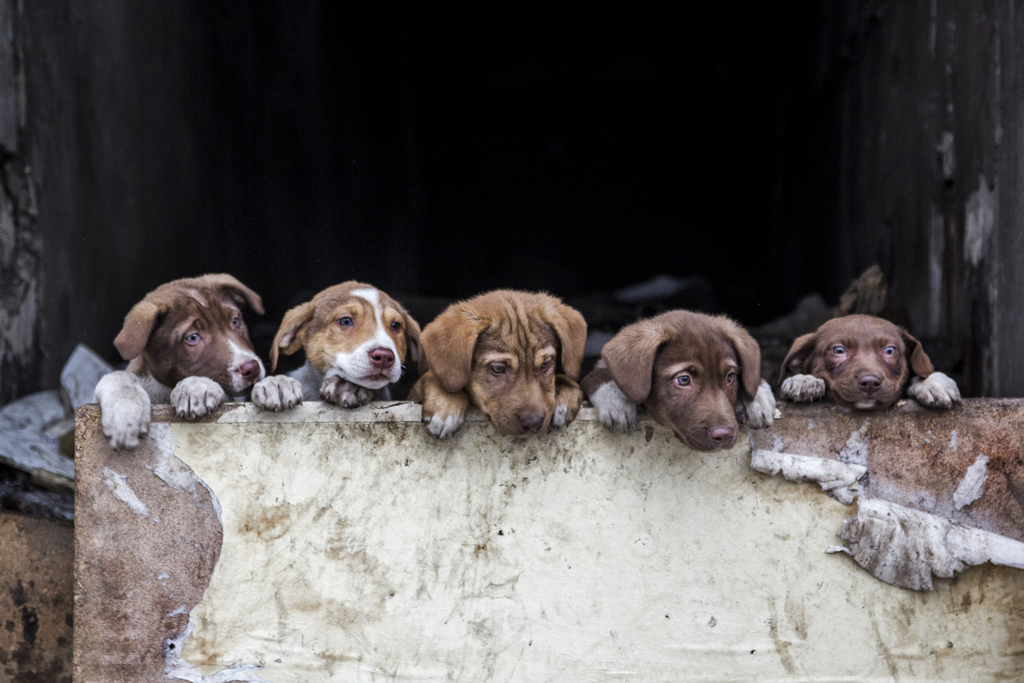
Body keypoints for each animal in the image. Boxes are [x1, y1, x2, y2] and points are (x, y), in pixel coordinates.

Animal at [92, 274, 266, 450]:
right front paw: (126, 411)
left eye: (235, 321)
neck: (164, 390)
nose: (252, 368)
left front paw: (194, 387)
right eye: (193, 337)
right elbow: (118, 376)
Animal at [405, 288, 585, 438]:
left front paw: (563, 392)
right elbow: (436, 378)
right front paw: (447, 403)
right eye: (498, 369)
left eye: (545, 365)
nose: (533, 423)